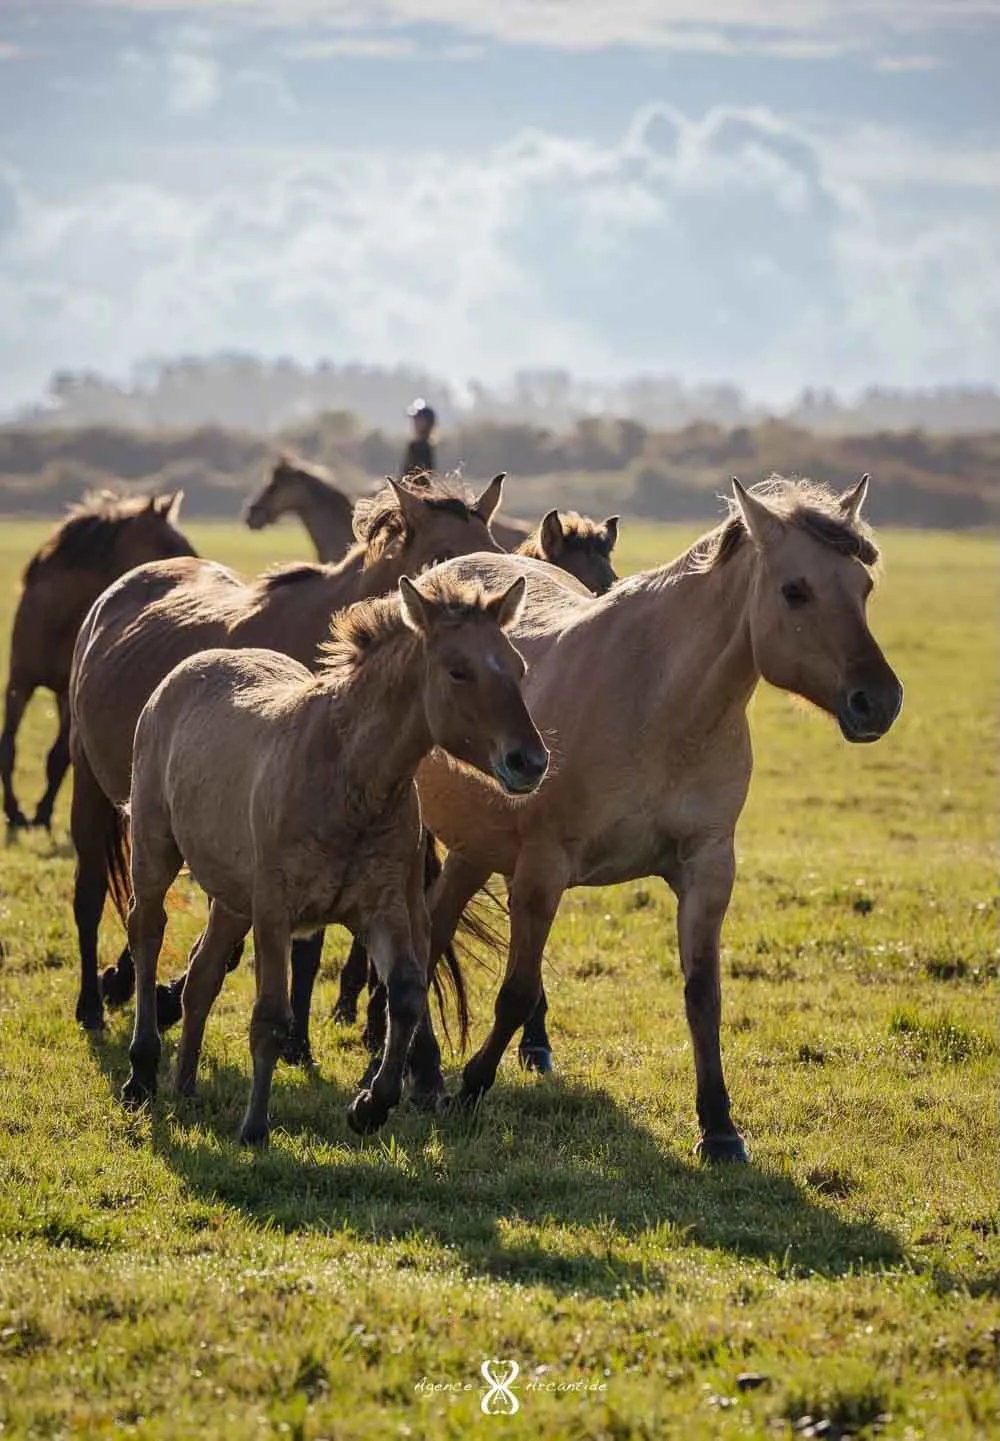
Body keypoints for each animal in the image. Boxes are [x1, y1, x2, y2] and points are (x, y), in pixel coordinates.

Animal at [1, 490, 193, 831]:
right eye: (167, 544)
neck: (58, 619)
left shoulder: (68, 697)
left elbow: (57, 758)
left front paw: (42, 814)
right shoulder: (19, 683)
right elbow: (8, 747)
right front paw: (14, 812)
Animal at [120, 571, 547, 1144]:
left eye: (518, 668)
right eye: (459, 671)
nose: (530, 762)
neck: (348, 777)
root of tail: (185, 671)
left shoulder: (381, 909)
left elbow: (405, 994)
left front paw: (370, 1105)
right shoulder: (275, 914)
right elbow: (271, 1019)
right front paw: (255, 1128)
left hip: (231, 897)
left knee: (203, 974)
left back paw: (186, 1084)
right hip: (155, 853)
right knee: (147, 933)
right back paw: (141, 1075)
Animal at [394, 474, 902, 1162]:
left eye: (864, 588)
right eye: (796, 590)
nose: (879, 701)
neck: (658, 704)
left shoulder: (707, 869)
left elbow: (703, 997)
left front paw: (719, 1128)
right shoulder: (542, 873)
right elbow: (517, 990)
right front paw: (473, 1087)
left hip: (477, 849)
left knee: (437, 929)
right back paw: (420, 1077)